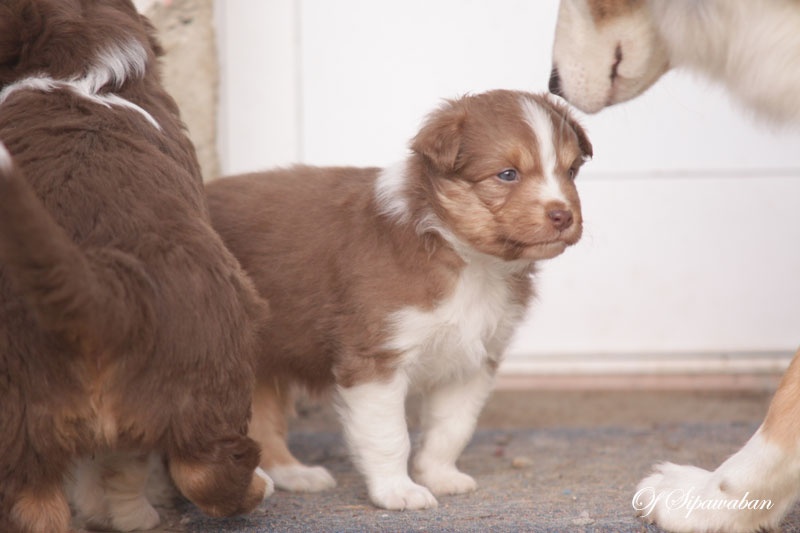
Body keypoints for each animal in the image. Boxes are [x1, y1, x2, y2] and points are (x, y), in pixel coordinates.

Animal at [0, 1, 272, 531]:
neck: (66, 61)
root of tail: (108, 288)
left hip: (19, 412)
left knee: (32, 505)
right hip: (216, 358)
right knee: (207, 470)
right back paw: (259, 485)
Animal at [205, 90, 592, 510]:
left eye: (571, 172)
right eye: (508, 174)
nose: (562, 215)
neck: (466, 259)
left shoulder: (473, 361)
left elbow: (451, 428)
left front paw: (439, 475)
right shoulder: (375, 359)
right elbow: (390, 435)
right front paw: (398, 491)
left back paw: (294, 474)